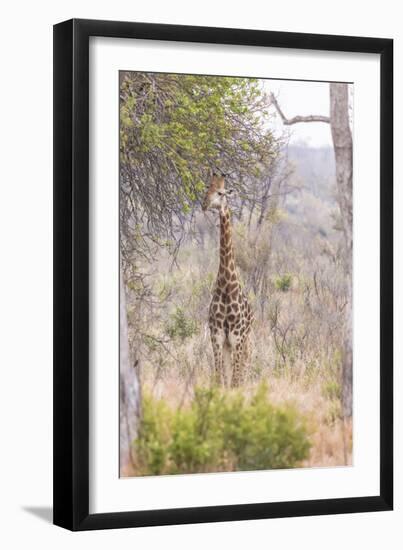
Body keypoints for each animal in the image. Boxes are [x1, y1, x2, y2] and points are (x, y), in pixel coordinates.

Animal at [202, 174, 256, 388]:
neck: (226, 286)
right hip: (228, 344)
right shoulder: (217, 337)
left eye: (220, 193)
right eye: (207, 188)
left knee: (243, 373)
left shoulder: (237, 338)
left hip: (246, 341)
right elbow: (220, 380)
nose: (204, 204)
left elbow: (234, 382)